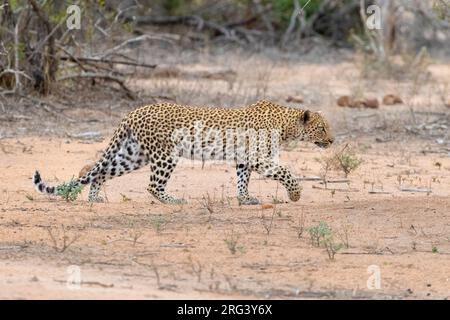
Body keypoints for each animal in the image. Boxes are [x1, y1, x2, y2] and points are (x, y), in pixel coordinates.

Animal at [32, 100, 334, 205]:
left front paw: (245, 199)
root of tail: (134, 111)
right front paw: (295, 195)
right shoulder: (260, 159)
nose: (332, 140)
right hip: (165, 154)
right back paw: (173, 200)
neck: (286, 125)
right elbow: (286, 172)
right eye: (321, 128)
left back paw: (95, 199)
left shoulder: (244, 159)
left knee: (100, 172)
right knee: (152, 186)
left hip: (133, 155)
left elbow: (242, 180)